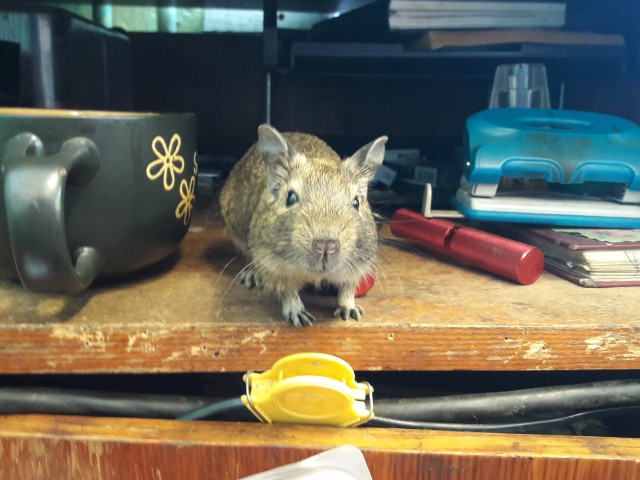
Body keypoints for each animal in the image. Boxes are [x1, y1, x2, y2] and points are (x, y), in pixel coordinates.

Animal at [219, 124, 387, 327]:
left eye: (356, 202)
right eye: (290, 197)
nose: (326, 246)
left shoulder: (357, 266)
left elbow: (347, 289)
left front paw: (349, 308)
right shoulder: (272, 265)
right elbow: (287, 292)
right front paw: (297, 313)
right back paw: (253, 275)